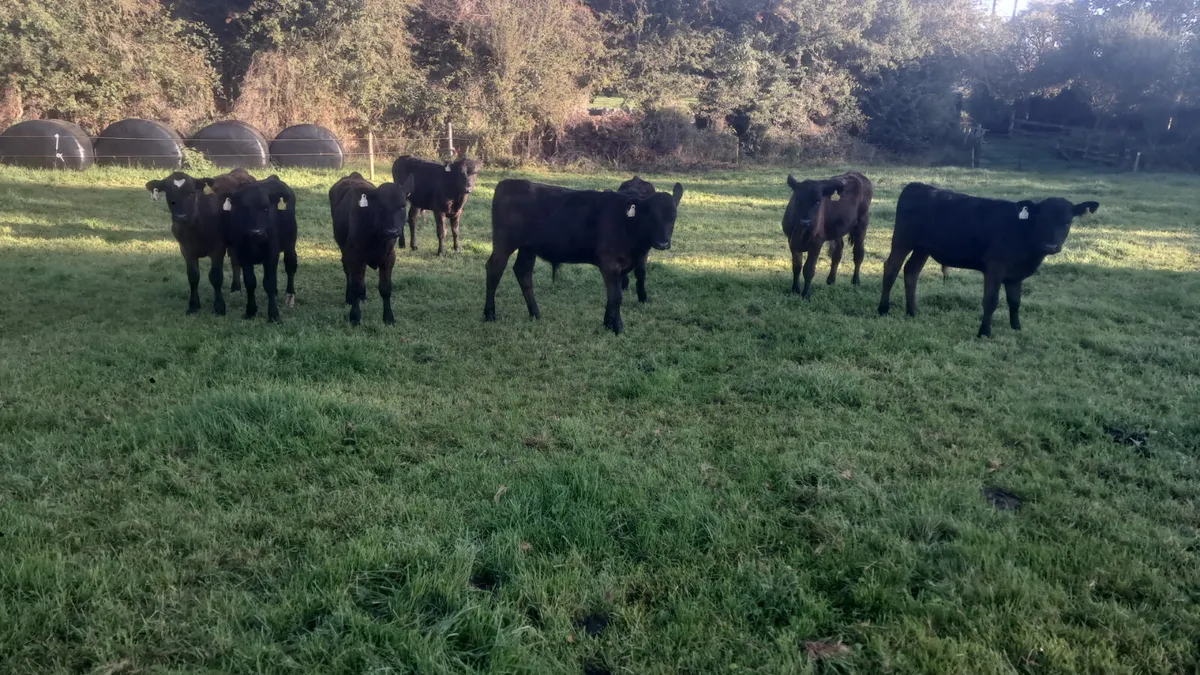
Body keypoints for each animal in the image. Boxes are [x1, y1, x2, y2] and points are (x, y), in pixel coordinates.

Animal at [145, 168, 256, 315]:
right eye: (168, 194)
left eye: (192, 193)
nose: (181, 217)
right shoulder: (186, 249)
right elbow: (193, 276)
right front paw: (193, 305)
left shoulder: (218, 248)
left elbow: (216, 277)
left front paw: (219, 306)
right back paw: (235, 287)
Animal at [221, 175, 300, 322]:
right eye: (244, 208)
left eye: (266, 209)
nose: (256, 232)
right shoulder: (243, 255)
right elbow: (250, 282)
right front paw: (250, 311)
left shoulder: (271, 253)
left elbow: (269, 283)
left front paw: (273, 314)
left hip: (290, 243)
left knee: (290, 265)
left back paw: (290, 295)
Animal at [328, 172, 415, 325]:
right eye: (380, 206)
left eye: (402, 206)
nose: (392, 231)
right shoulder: (354, 256)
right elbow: (356, 286)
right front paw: (355, 317)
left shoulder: (389, 258)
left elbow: (385, 288)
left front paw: (388, 317)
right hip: (345, 250)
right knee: (348, 273)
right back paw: (349, 297)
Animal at [484, 179, 684, 334]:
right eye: (650, 216)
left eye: (673, 217)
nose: (662, 243)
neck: (627, 224)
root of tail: (509, 183)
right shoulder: (609, 263)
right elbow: (617, 296)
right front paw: (617, 327)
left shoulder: (622, 267)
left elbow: (613, 295)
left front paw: (608, 322)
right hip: (504, 243)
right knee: (494, 271)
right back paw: (489, 314)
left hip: (528, 247)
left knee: (523, 272)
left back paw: (535, 313)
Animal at [878, 182, 1100, 337]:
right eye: (1041, 219)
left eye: (1067, 221)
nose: (1050, 246)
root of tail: (919, 186)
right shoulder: (995, 268)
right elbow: (991, 301)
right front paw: (984, 332)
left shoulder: (1015, 275)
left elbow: (1015, 301)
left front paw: (1016, 328)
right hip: (902, 240)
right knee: (891, 268)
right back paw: (883, 309)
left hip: (923, 247)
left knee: (911, 271)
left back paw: (912, 311)